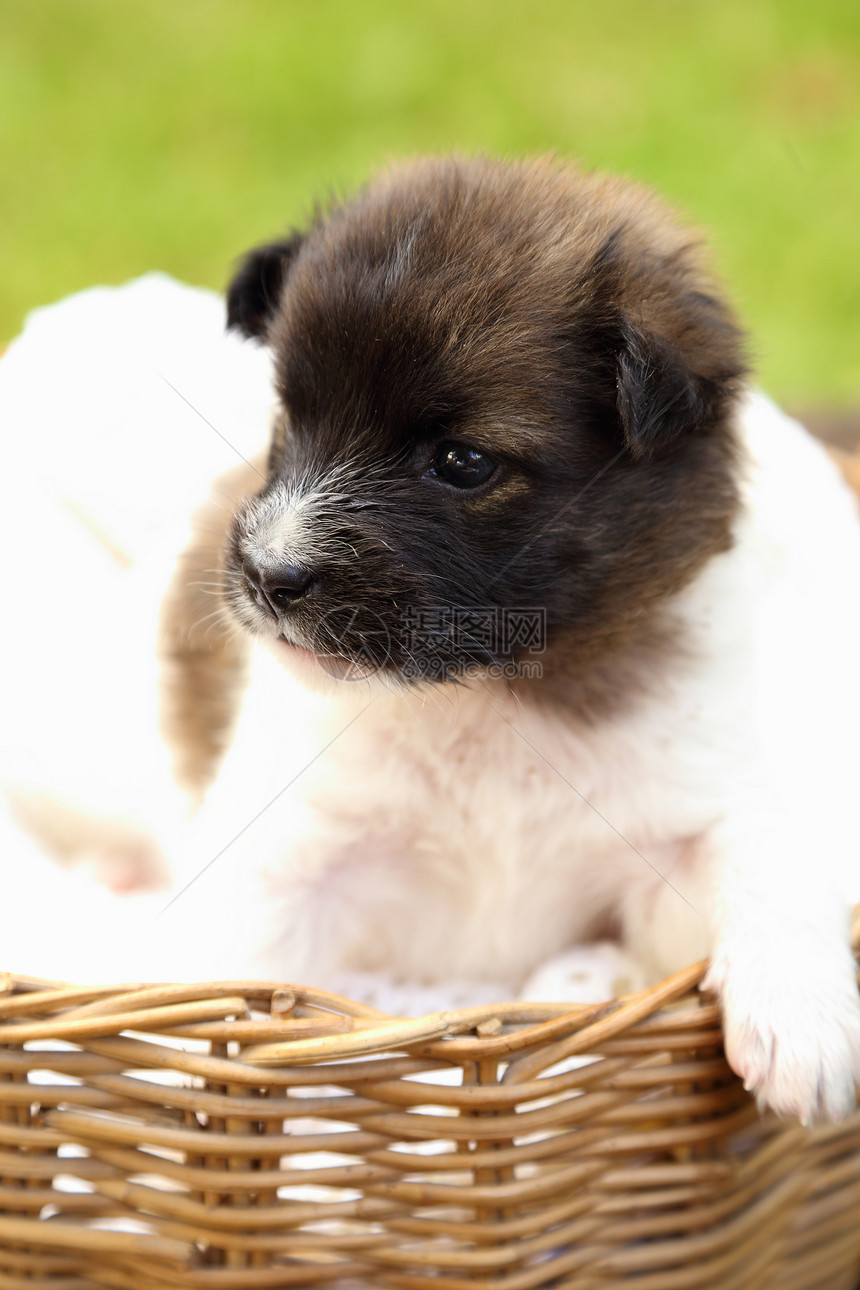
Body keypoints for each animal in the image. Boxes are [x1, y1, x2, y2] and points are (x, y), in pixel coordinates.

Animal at [1, 156, 860, 1124]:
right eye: (288, 421)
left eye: (462, 462)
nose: (267, 576)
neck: (486, 695)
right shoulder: (282, 868)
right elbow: (221, 983)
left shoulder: (679, 831)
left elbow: (769, 856)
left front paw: (805, 1023)